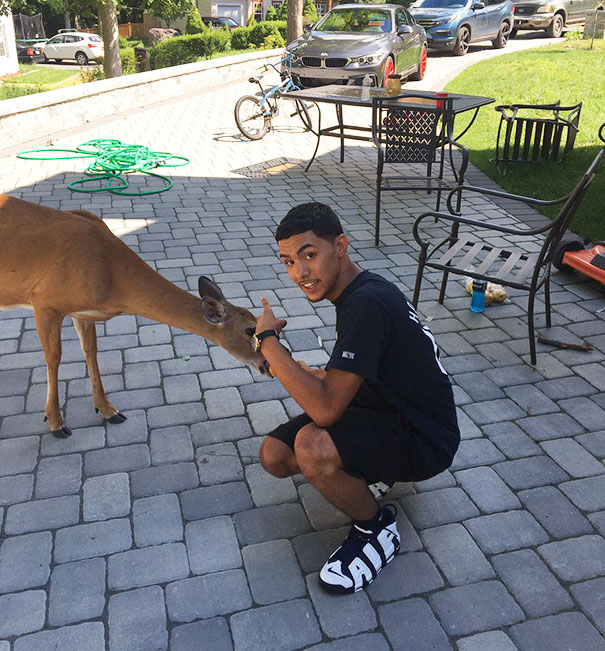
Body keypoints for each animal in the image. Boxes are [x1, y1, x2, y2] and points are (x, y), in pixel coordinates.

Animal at [0, 194, 270, 439]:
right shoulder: (44, 301)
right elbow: (53, 358)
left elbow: (91, 351)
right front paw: (56, 423)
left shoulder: (83, 311)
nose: (267, 365)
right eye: (250, 329)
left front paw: (109, 410)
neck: (108, 277)